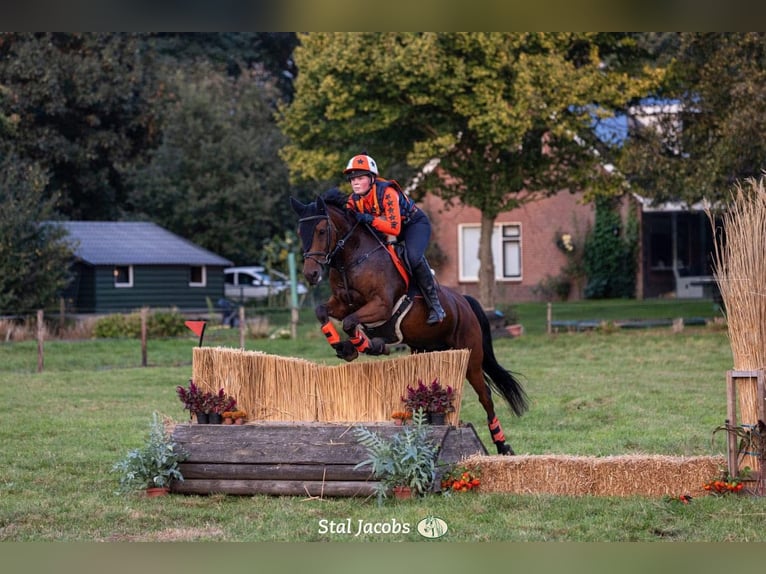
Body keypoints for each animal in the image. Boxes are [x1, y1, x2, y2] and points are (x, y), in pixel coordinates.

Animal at [292, 189, 532, 454]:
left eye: (321, 230)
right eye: (300, 232)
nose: (311, 274)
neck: (353, 258)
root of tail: (465, 302)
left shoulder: (381, 305)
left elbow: (350, 322)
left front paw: (366, 346)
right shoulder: (341, 302)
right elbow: (323, 312)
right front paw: (345, 347)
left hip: (471, 356)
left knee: (485, 396)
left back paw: (502, 445)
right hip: (426, 350)